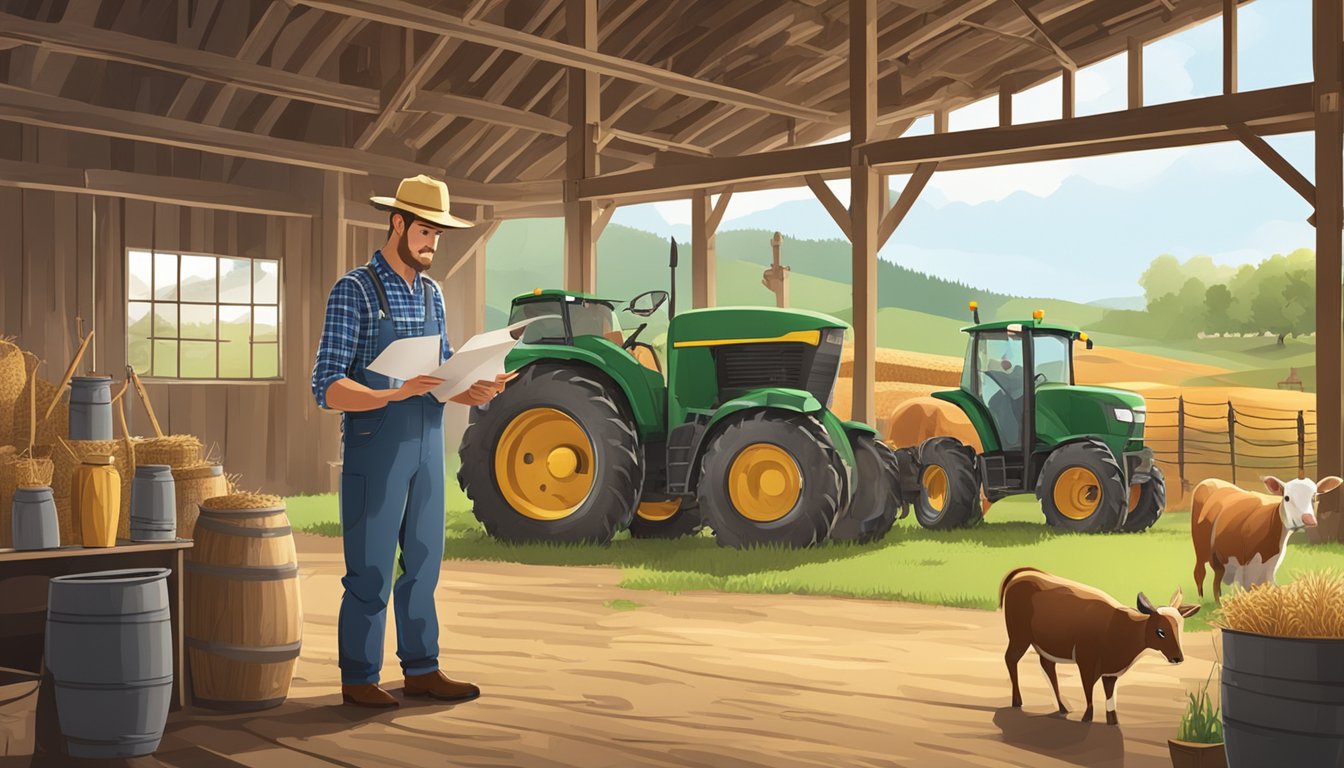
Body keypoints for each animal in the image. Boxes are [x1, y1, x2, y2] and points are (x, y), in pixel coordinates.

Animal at [999, 567, 1198, 726]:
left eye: (1180, 628)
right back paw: (1017, 700)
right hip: (1019, 637)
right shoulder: (1086, 663)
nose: (1177, 658)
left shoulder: (1110, 672)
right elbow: (1088, 689)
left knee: (1047, 667)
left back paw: (1063, 708)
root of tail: (1024, 574)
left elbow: (1110, 696)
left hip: (1044, 647)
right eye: (1160, 631)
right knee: (1010, 659)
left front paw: (1113, 720)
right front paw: (1087, 717)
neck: (1120, 626)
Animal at [1193, 470, 1338, 605]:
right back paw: (1202, 599)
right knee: (1201, 573)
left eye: (1314, 497)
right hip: (1202, 550)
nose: (1308, 519)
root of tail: (1210, 480)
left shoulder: (1269, 567)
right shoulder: (1241, 564)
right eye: (1286, 497)